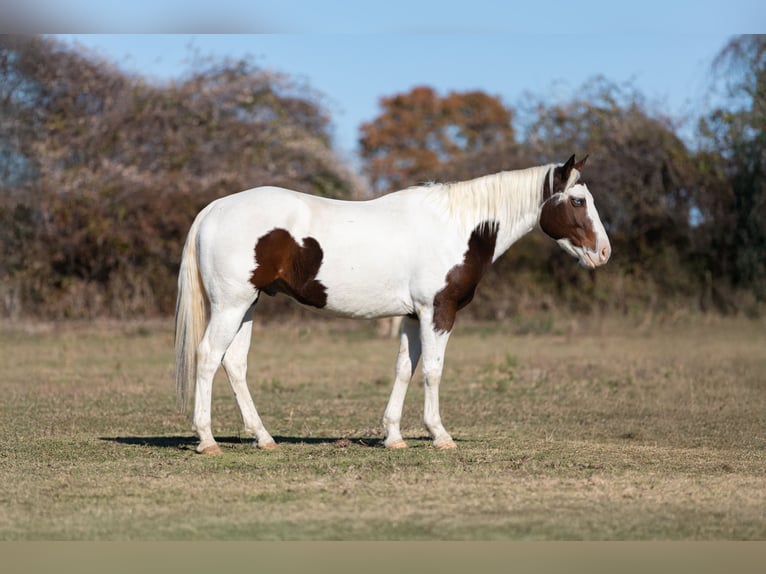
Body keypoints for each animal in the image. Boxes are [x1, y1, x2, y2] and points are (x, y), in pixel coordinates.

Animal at [174, 155, 612, 456]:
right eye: (577, 201)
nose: (604, 252)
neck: (458, 226)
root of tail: (214, 209)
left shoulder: (413, 316)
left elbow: (405, 369)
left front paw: (394, 436)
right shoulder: (438, 311)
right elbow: (433, 371)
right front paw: (440, 435)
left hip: (247, 306)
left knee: (234, 364)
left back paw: (263, 438)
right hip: (231, 306)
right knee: (209, 357)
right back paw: (207, 440)